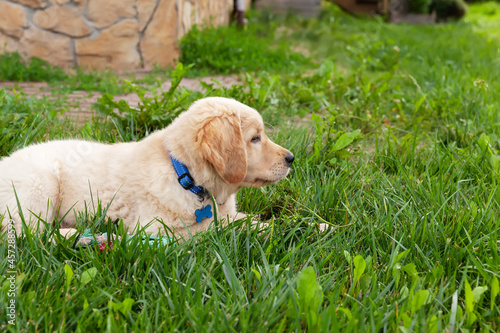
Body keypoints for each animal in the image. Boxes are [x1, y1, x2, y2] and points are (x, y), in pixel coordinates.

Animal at [0, 96, 294, 236]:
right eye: (255, 138)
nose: (291, 158)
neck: (184, 175)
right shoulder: (154, 227)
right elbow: (220, 229)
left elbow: (250, 219)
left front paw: (295, 223)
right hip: (38, 190)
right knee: (29, 237)